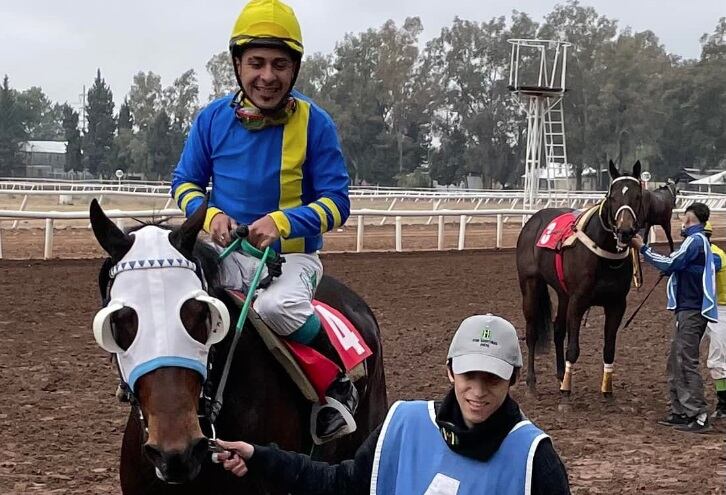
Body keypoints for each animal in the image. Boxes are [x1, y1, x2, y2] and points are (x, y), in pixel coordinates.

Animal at [516, 161, 644, 402]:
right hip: (530, 284)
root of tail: (534, 220)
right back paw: (531, 383)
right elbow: (573, 349)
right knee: (532, 332)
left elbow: (609, 349)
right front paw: (566, 392)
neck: (603, 253)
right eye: (612, 196)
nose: (625, 231)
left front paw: (607, 391)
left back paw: (559, 375)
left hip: (563, 293)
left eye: (638, 196)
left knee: (558, 329)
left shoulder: (616, 304)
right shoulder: (578, 301)